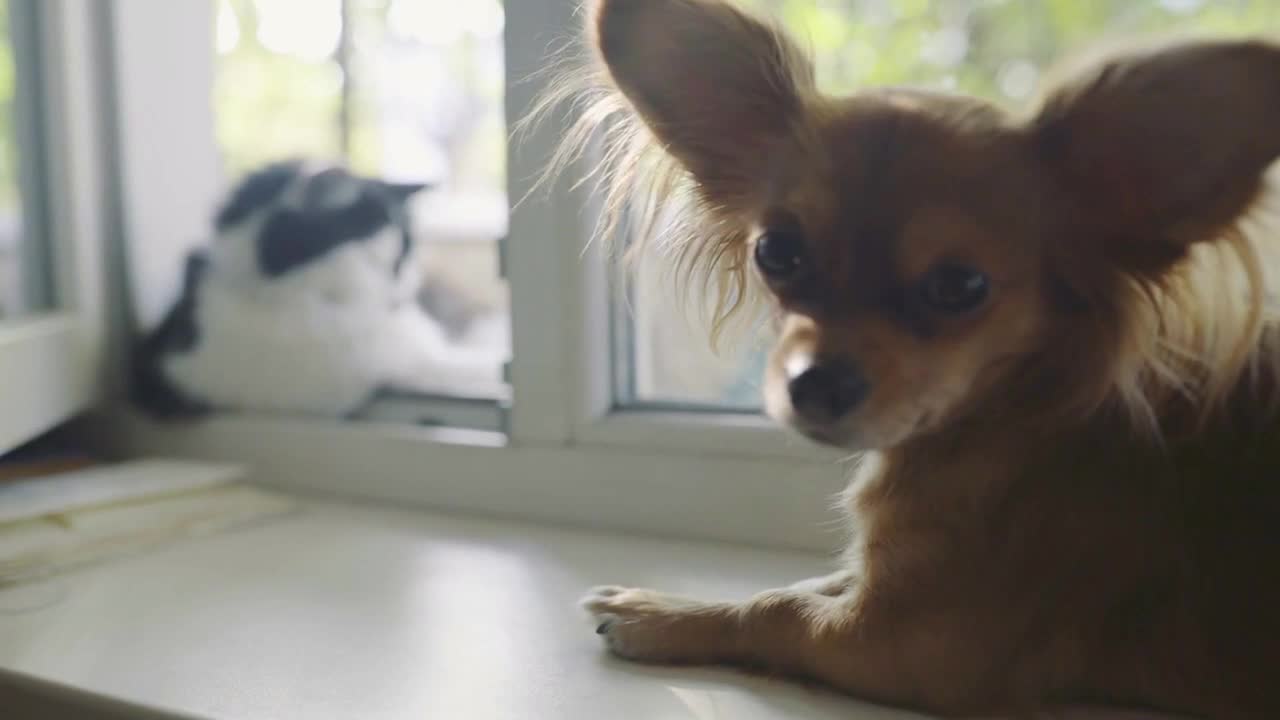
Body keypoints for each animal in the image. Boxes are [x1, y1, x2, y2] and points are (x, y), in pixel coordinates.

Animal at [555, 1, 1280, 717]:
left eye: (960, 286)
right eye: (777, 252)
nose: (814, 385)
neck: (1019, 410)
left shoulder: (917, 648)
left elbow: (775, 608)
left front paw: (661, 613)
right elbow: (825, 578)